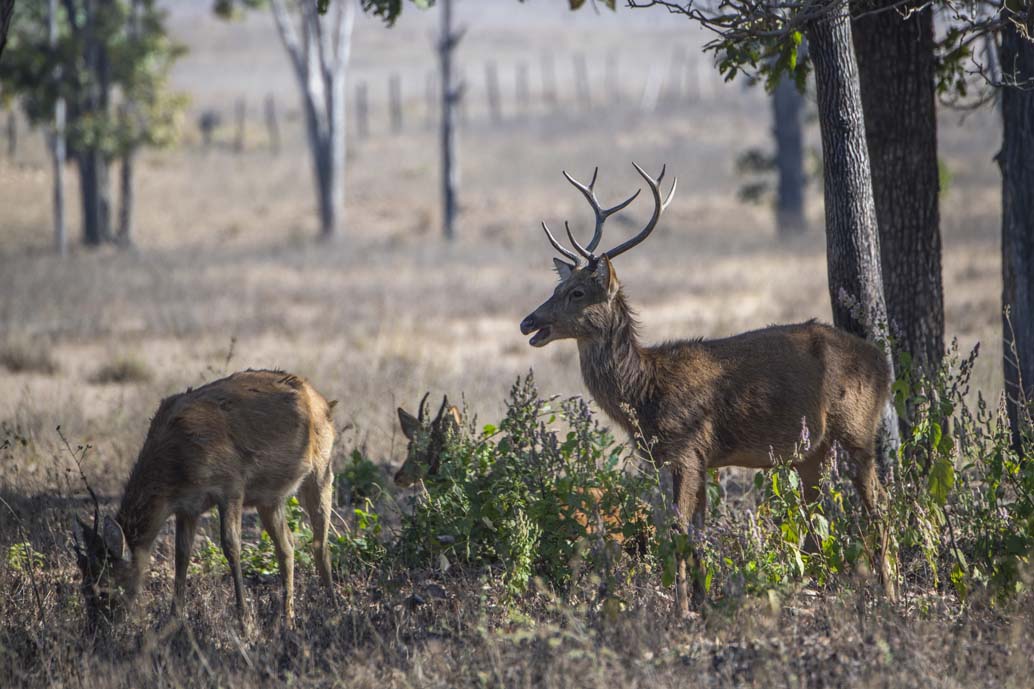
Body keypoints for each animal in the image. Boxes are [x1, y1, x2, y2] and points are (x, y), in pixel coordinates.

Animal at [72, 369, 337, 629]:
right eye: (83, 586)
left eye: (104, 588)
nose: (96, 630)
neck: (177, 466)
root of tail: (324, 402)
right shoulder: (188, 507)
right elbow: (181, 555)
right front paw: (173, 621)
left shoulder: (232, 486)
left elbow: (231, 546)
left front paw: (245, 621)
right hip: (269, 499)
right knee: (287, 545)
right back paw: (288, 618)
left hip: (322, 471)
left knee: (320, 541)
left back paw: (331, 608)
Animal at [519, 163, 897, 618]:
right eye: (555, 288)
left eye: (576, 292)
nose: (527, 321)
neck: (646, 394)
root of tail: (884, 364)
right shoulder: (697, 459)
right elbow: (697, 532)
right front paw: (700, 602)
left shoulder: (685, 445)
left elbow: (677, 529)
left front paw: (680, 608)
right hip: (813, 450)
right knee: (816, 517)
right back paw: (821, 592)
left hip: (857, 426)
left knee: (879, 507)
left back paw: (889, 594)